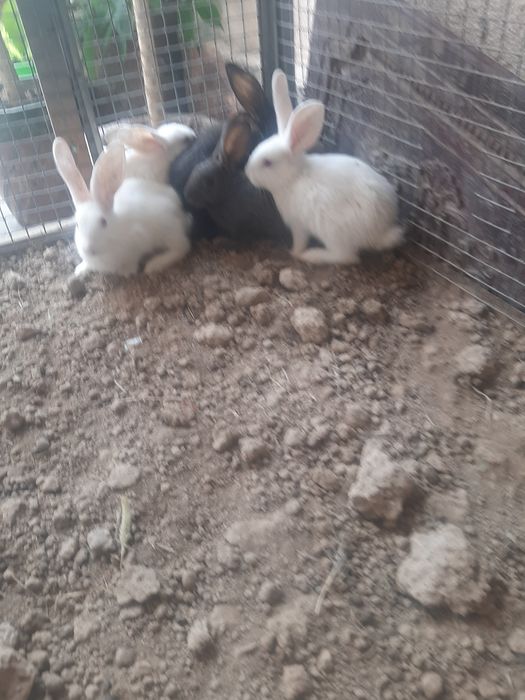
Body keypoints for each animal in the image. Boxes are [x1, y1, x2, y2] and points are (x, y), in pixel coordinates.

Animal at [52, 137, 192, 277]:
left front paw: (127, 270)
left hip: (169, 230)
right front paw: (79, 270)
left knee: (182, 247)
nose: (88, 249)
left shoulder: (139, 239)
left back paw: (154, 264)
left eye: (103, 222)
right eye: (77, 225)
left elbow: (133, 258)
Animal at [245, 70, 404, 265]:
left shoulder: (298, 224)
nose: (247, 173)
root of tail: (380, 232)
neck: (294, 177)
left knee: (346, 256)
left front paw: (294, 253)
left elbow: (299, 241)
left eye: (267, 163)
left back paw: (312, 255)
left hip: (332, 230)